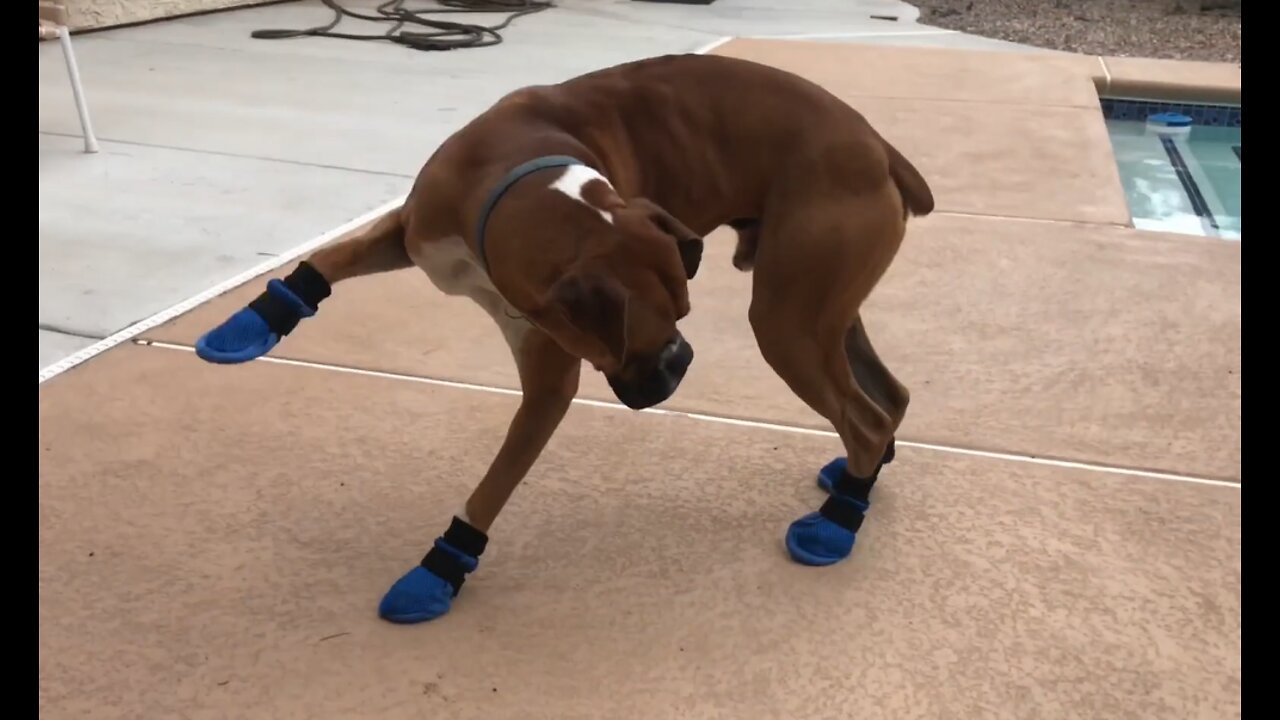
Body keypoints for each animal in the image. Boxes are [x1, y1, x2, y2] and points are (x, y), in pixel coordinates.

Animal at [194, 51, 931, 622]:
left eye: (680, 322)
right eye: (652, 334)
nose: (682, 360)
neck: (522, 183)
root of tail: (878, 146)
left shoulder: (549, 379)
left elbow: (491, 488)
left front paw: (440, 569)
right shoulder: (411, 232)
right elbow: (330, 259)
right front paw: (251, 323)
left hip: (787, 318)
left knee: (863, 416)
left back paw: (837, 523)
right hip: (817, 309)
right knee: (888, 397)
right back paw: (856, 481)